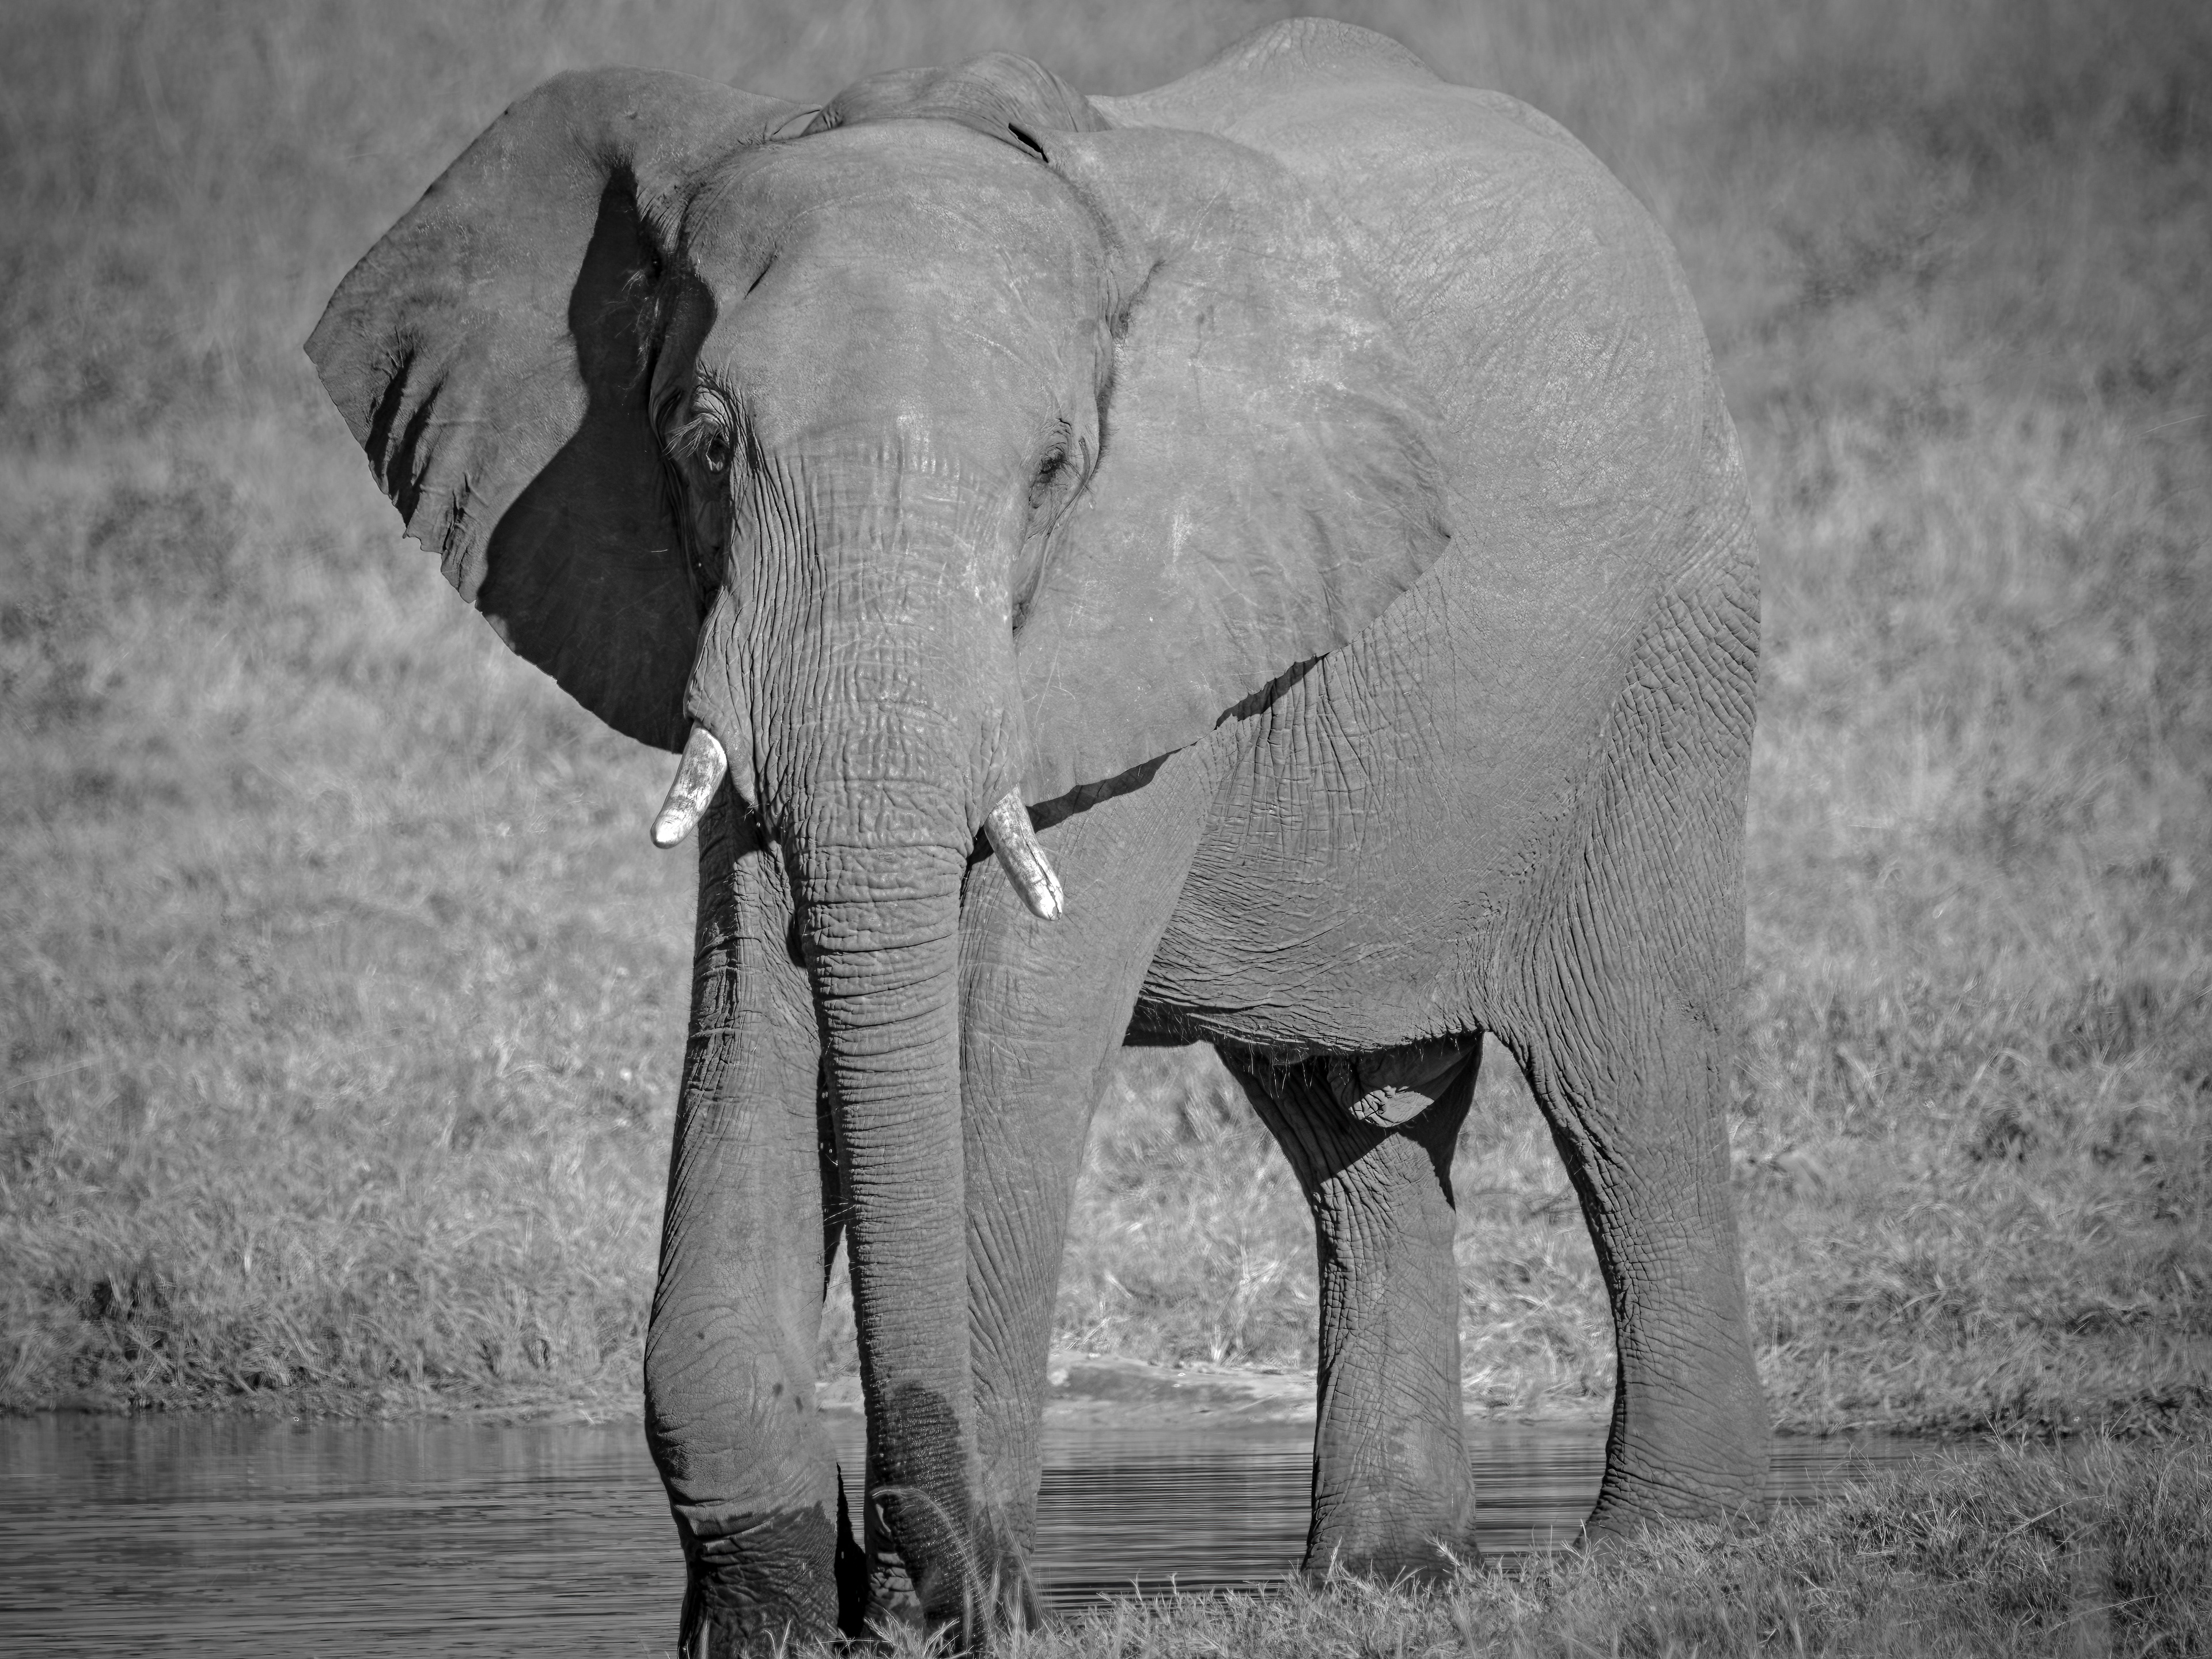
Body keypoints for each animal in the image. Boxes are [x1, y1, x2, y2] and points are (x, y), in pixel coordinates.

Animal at [307, 17, 1766, 1653]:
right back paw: (1385, 1578)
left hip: (1669, 642)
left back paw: (1662, 1549)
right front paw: (772, 1614)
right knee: (1353, 1122)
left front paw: (941, 1616)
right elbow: (753, 1012)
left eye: (1057, 471)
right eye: (705, 443)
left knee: (1626, 1064)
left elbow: (1001, 1032)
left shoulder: (1157, 605)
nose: (924, 1580)